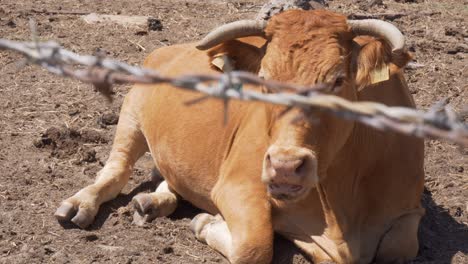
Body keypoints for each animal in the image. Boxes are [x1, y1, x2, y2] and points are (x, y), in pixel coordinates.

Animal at [54, 9, 424, 262]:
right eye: (264, 78)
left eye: (338, 80)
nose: (285, 166)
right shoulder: (238, 186)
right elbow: (254, 246)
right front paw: (206, 223)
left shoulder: (409, 210)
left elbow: (401, 248)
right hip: (131, 114)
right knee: (116, 170)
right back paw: (80, 204)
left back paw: (153, 202)